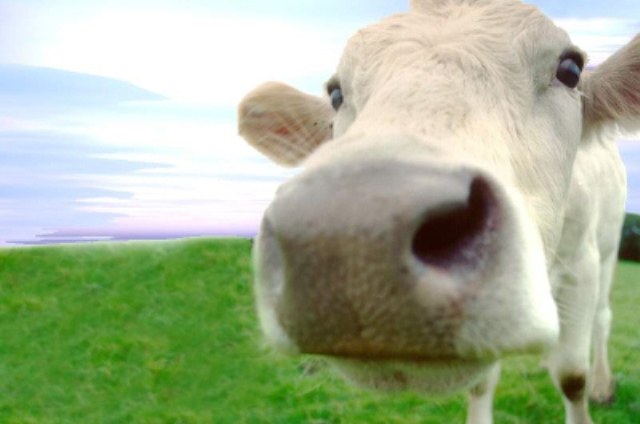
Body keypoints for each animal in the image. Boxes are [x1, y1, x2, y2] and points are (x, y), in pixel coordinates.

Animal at [237, 1, 639, 423]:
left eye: (570, 69)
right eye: (335, 94)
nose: (351, 241)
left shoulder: (581, 266)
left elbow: (571, 377)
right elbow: (481, 382)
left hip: (607, 250)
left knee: (603, 318)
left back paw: (602, 385)